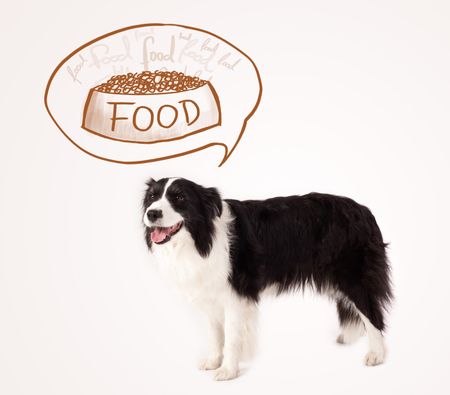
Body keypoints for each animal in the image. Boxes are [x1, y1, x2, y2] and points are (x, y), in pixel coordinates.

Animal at [142, 179, 392, 380]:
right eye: (152, 197)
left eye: (179, 197)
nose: (152, 214)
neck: (201, 237)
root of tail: (364, 209)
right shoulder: (209, 294)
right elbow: (215, 334)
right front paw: (214, 361)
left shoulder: (235, 296)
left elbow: (231, 337)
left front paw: (228, 371)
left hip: (353, 276)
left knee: (372, 314)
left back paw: (376, 355)